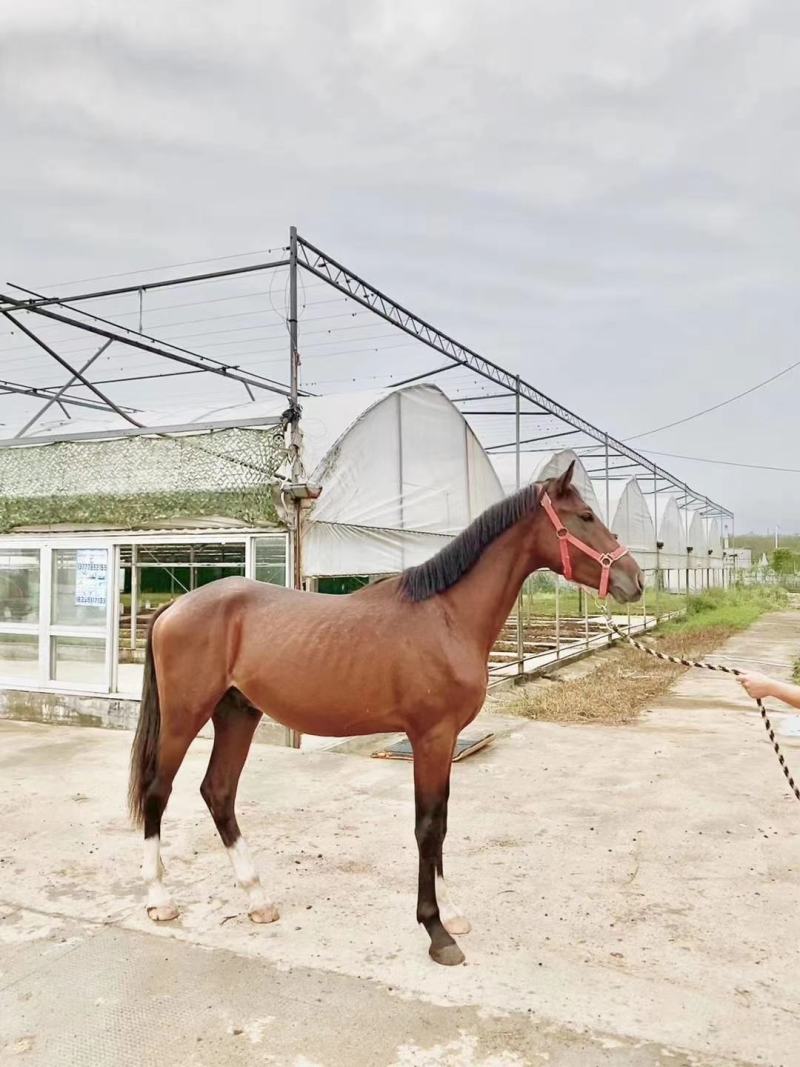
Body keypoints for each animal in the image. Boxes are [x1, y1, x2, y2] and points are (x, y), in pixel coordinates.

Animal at [128, 461, 643, 966]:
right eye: (585, 517)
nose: (634, 580)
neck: (446, 616)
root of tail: (175, 605)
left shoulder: (443, 741)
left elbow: (441, 823)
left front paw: (452, 914)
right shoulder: (430, 737)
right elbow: (428, 827)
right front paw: (436, 932)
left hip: (237, 714)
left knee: (218, 792)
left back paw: (257, 899)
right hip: (184, 717)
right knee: (157, 792)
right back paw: (160, 900)